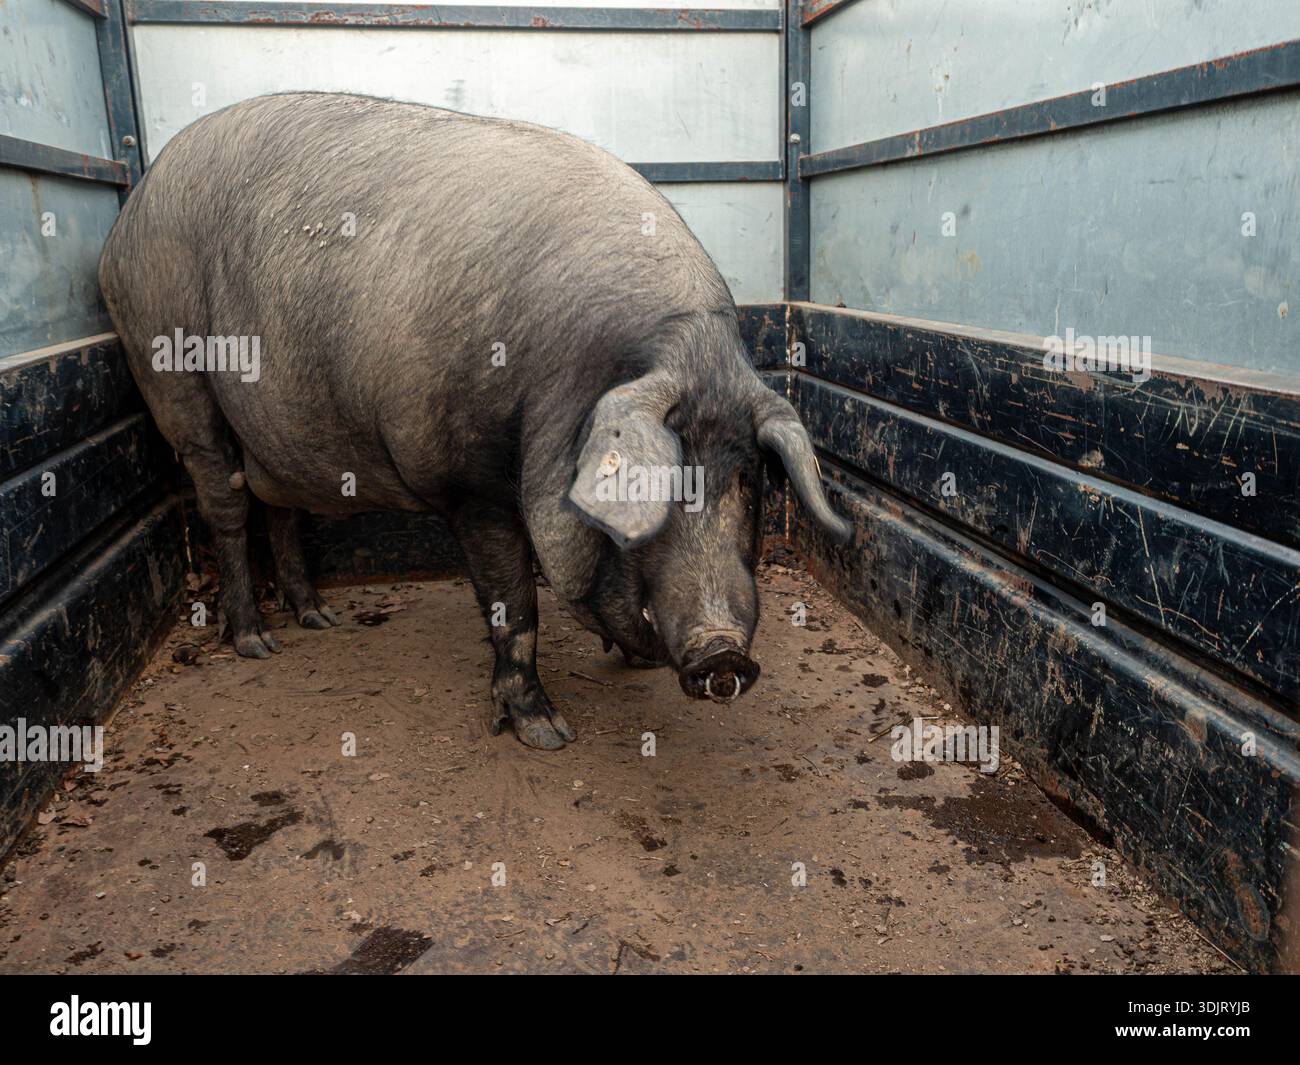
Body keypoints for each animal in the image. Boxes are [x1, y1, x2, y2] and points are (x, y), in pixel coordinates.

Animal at [98, 93, 851, 749]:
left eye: (747, 477)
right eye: (649, 485)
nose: (723, 655)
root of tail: (121, 229)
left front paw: (630, 665)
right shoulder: (468, 483)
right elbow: (515, 603)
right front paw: (545, 734)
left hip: (275, 433)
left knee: (278, 507)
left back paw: (317, 616)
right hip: (173, 372)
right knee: (224, 503)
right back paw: (257, 641)